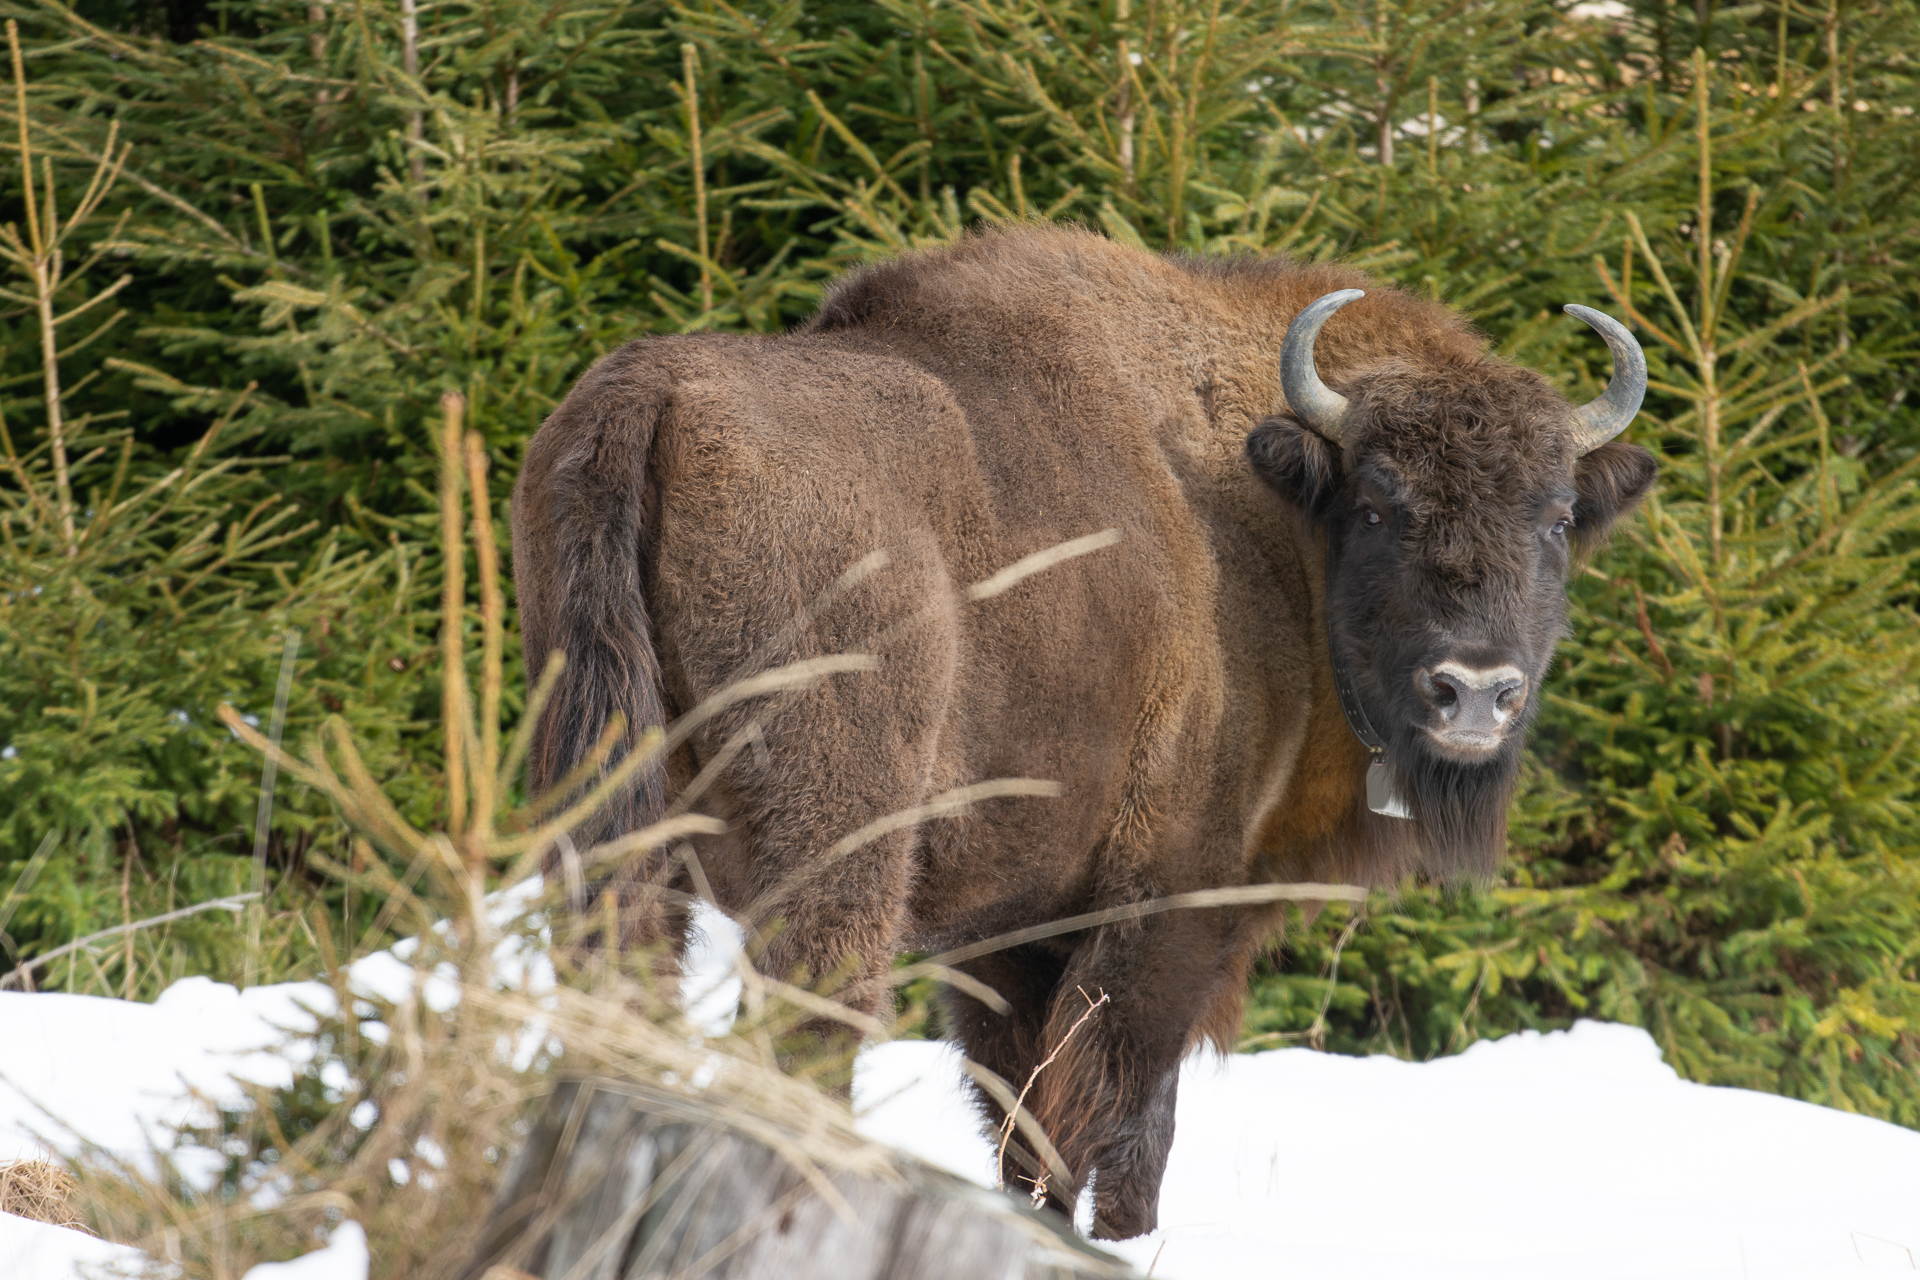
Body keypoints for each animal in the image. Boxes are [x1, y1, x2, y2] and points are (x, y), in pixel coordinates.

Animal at [510, 227, 1651, 1243]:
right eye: (1376, 505)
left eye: (1556, 518)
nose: (1475, 692)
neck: (1271, 523)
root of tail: (651, 391)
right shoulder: (1171, 898)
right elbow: (1112, 1111)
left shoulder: (1018, 926)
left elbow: (1031, 1111)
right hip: (838, 845)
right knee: (807, 1025)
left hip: (608, 812)